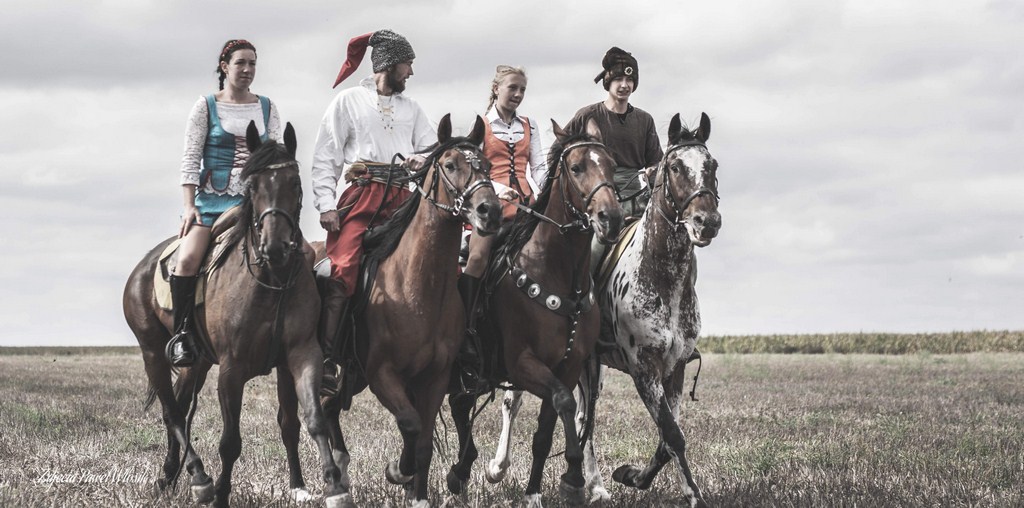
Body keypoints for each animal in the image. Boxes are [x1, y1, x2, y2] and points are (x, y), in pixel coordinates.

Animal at [121, 121, 348, 508]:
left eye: (295, 183)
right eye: (252, 187)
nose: (275, 247)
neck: (272, 279)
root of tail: (142, 268)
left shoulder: (301, 356)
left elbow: (305, 421)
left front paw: (328, 485)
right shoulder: (231, 369)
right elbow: (230, 441)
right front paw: (221, 495)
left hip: (196, 362)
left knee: (179, 407)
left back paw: (170, 477)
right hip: (152, 353)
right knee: (172, 412)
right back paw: (198, 477)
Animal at [315, 115, 499, 508]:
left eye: (488, 166)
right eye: (450, 165)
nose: (489, 212)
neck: (417, 290)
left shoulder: (434, 378)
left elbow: (424, 441)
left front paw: (418, 494)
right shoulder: (383, 374)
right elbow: (411, 425)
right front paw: (398, 472)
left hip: (354, 375)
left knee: (331, 406)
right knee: (324, 405)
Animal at [442, 119, 622, 508]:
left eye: (612, 165)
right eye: (577, 167)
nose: (611, 218)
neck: (558, 274)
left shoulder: (567, 366)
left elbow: (546, 431)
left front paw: (536, 492)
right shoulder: (523, 363)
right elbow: (564, 402)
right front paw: (573, 477)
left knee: (460, 406)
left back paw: (460, 472)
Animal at [485, 112, 720, 508]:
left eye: (712, 165)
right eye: (675, 166)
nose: (708, 221)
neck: (664, 280)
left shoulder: (674, 369)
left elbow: (667, 438)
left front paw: (634, 477)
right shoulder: (644, 368)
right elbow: (673, 436)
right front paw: (689, 494)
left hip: (588, 368)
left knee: (583, 418)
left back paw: (592, 485)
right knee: (513, 403)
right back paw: (499, 468)